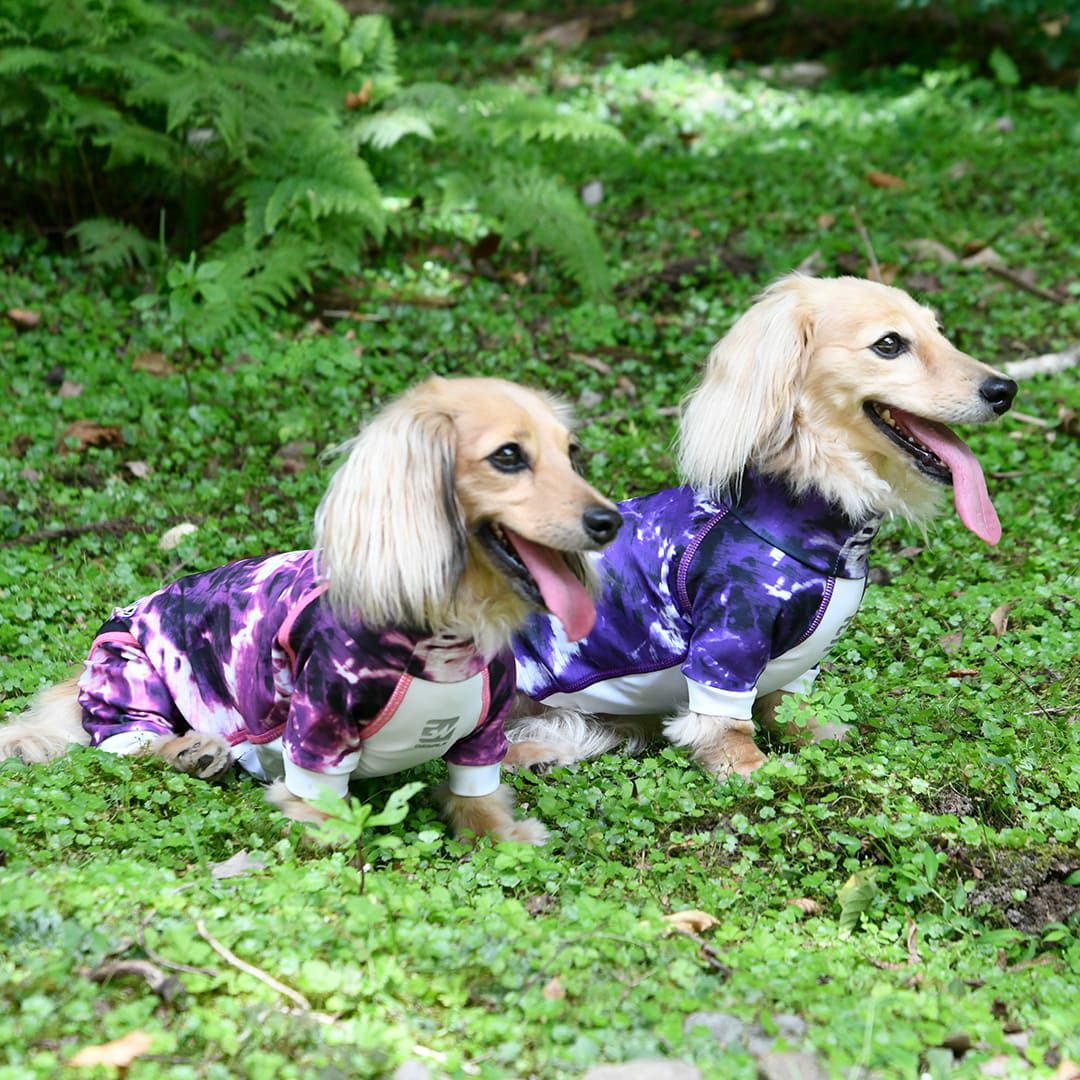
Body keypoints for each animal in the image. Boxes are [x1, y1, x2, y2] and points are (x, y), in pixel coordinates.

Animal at [0, 376, 622, 843]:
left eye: (572, 454)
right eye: (508, 456)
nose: (609, 522)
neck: (439, 637)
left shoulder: (484, 727)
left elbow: (480, 793)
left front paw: (503, 833)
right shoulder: (319, 722)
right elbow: (321, 798)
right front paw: (325, 827)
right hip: (130, 671)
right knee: (129, 746)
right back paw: (191, 750)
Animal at [508, 274, 1017, 779]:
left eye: (939, 332)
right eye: (889, 344)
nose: (1005, 390)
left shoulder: (800, 662)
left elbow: (790, 708)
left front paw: (824, 735)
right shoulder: (729, 639)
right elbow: (725, 723)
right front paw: (750, 768)